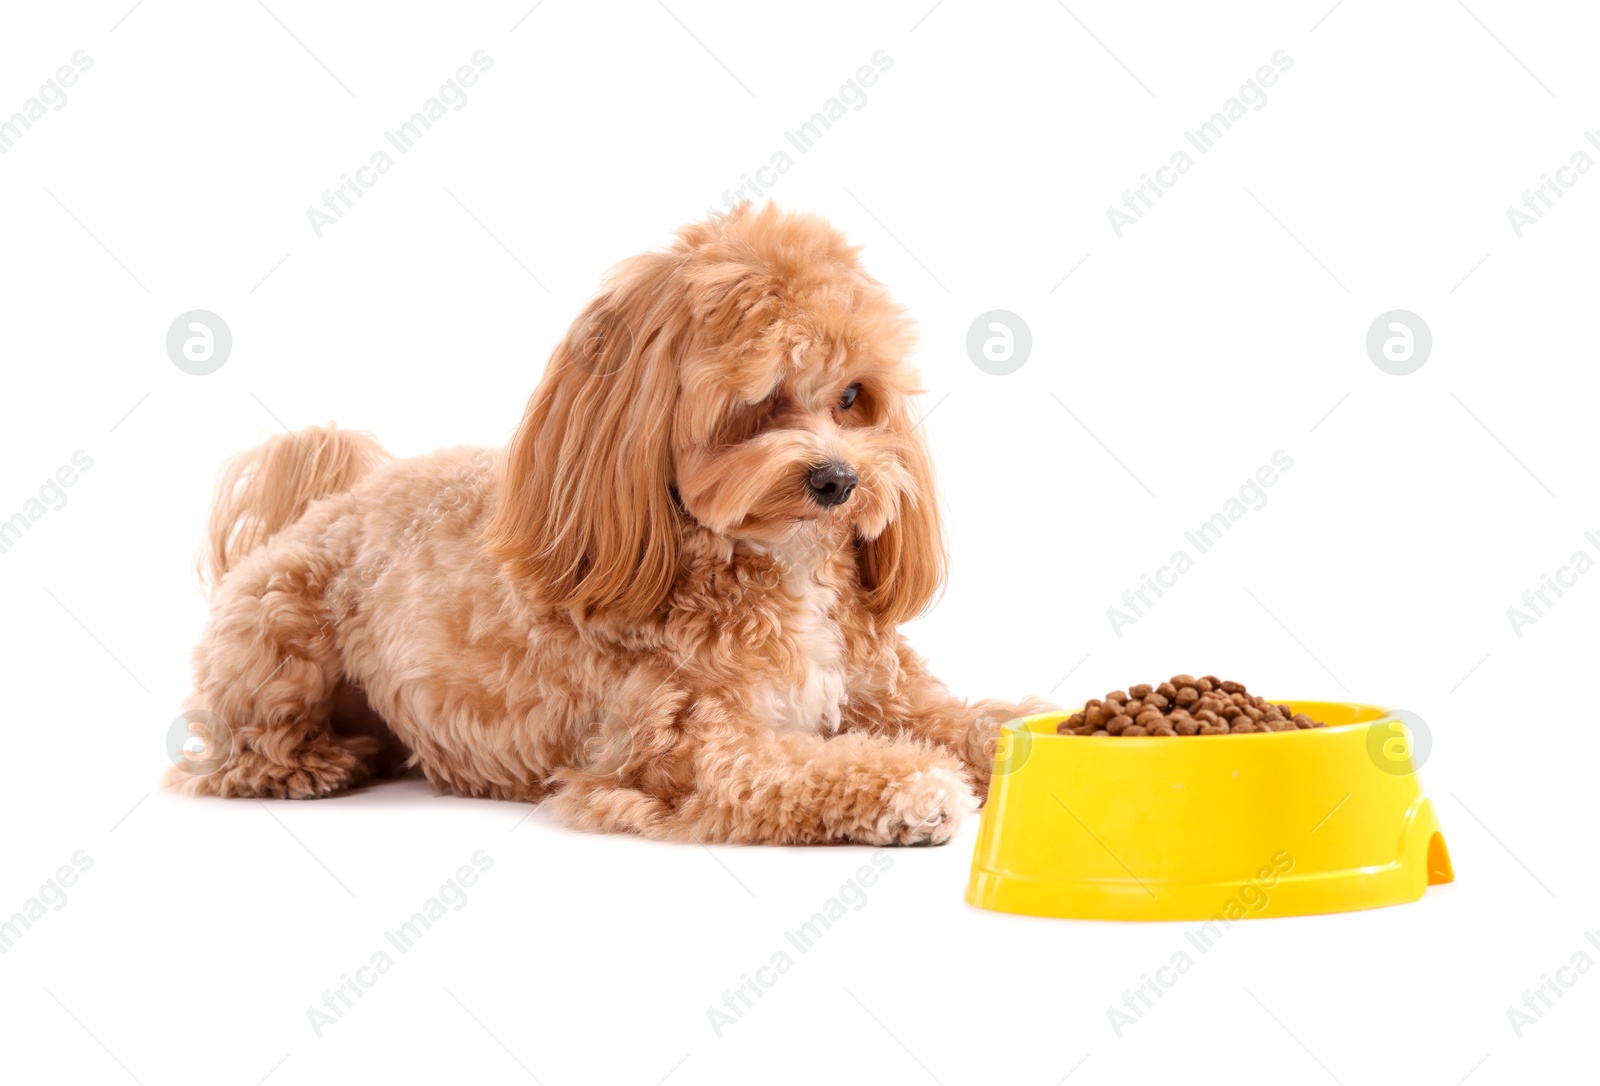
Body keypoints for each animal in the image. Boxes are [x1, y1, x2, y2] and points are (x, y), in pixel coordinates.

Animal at [172, 206, 1049, 850]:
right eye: (761, 401)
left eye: (853, 397)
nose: (838, 481)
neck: (779, 565)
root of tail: (332, 501)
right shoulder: (687, 752)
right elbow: (807, 766)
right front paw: (912, 785)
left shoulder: (888, 693)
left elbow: (975, 722)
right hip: (278, 640)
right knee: (238, 752)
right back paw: (312, 765)